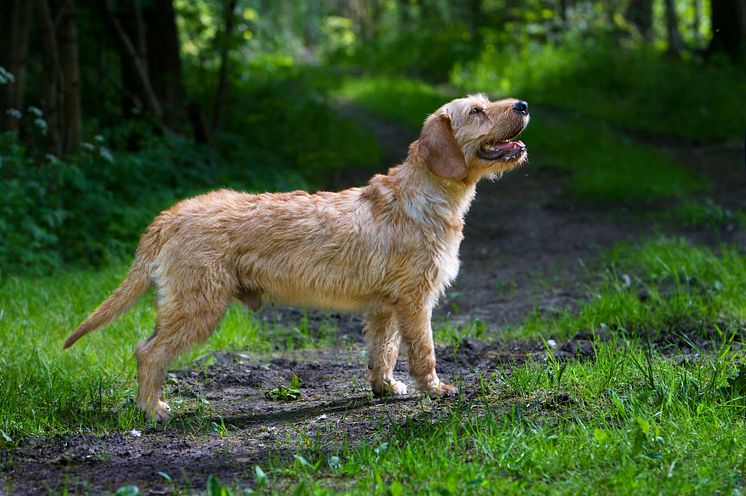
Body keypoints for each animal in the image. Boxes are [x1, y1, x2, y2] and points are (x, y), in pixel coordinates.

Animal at [65, 95, 528, 420]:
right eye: (476, 110)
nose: (523, 105)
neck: (423, 195)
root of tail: (170, 216)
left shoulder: (384, 307)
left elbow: (384, 350)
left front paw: (386, 388)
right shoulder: (416, 300)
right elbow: (423, 349)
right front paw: (434, 389)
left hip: (184, 304)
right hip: (199, 306)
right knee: (149, 353)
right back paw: (151, 410)